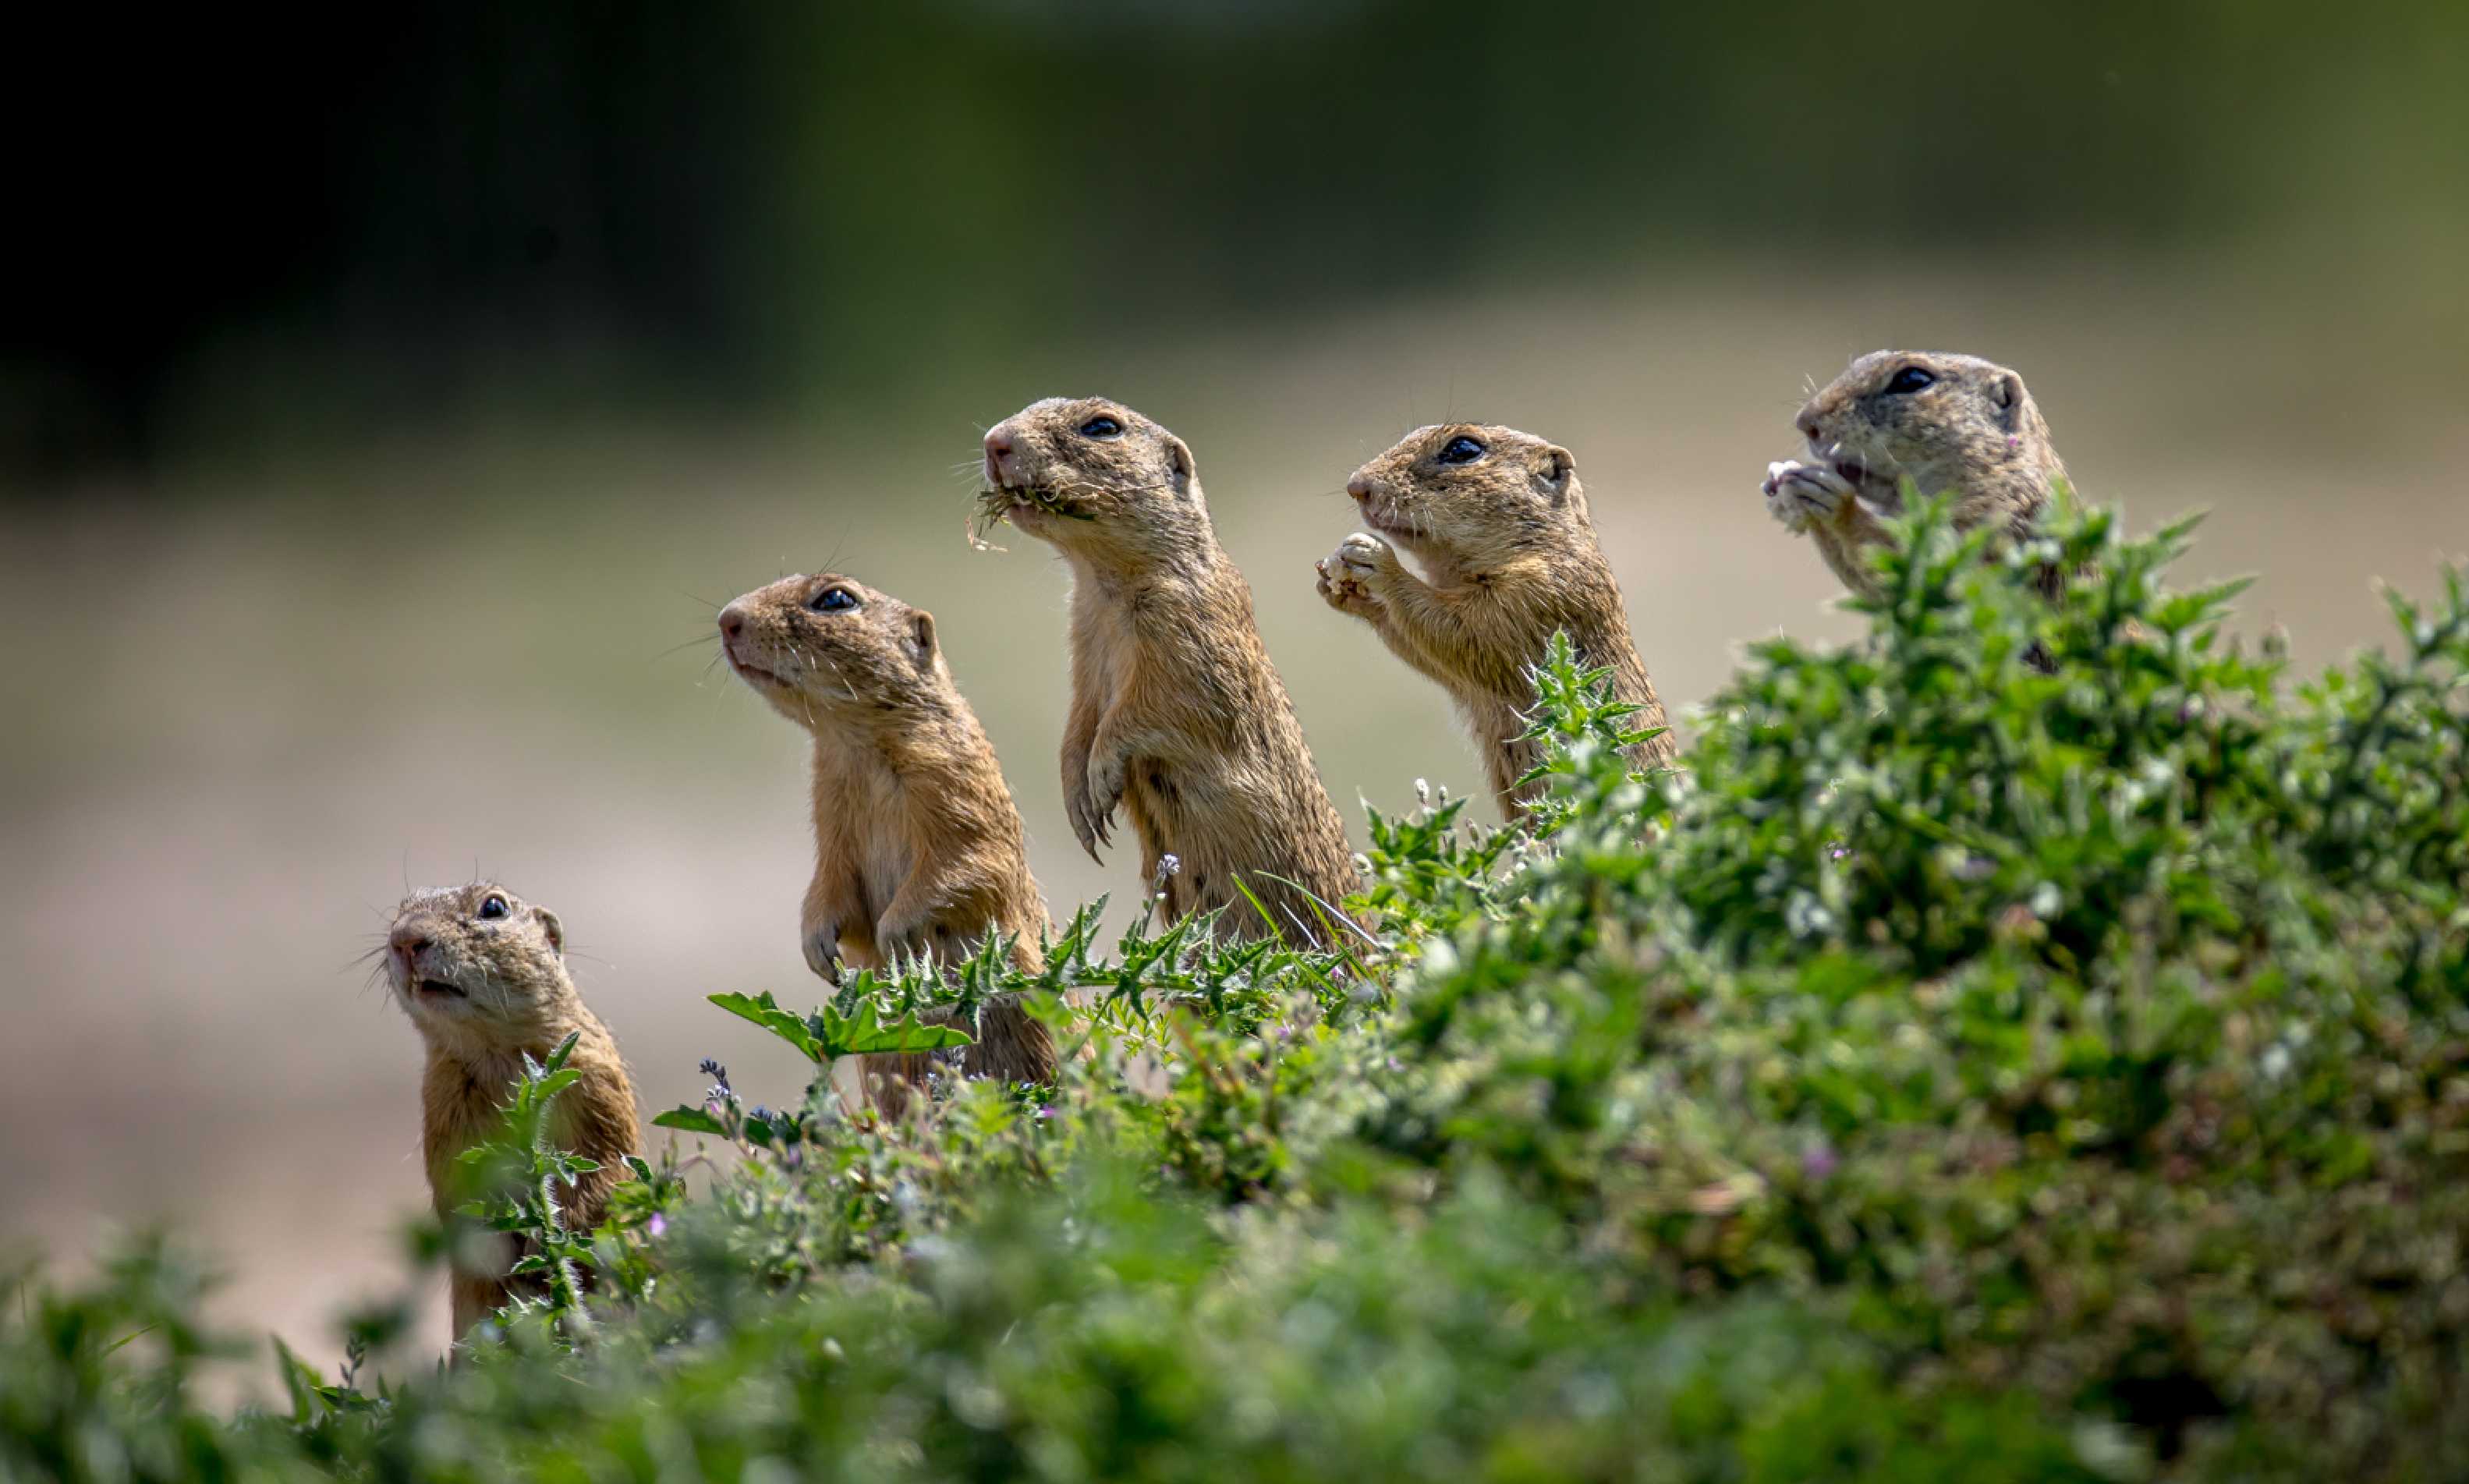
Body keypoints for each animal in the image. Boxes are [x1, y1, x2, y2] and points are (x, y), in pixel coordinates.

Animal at [380, 879, 636, 1343]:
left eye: (494, 907)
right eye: (402, 909)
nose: (405, 938)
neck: (494, 1047)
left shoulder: (596, 1079)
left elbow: (605, 1163)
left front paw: (549, 1240)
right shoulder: (443, 1105)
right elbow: (457, 1187)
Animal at [721, 568, 1057, 1101]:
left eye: (836, 599)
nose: (727, 619)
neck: (853, 743)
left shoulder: (962, 791)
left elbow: (967, 865)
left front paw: (895, 933)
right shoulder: (830, 818)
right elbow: (831, 886)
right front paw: (819, 950)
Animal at [972, 399, 1362, 943]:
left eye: (1102, 427)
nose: (994, 442)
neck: (1104, 584)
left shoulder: (1189, 637)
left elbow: (1158, 709)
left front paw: (1100, 778)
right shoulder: (1083, 649)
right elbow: (1079, 721)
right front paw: (1078, 804)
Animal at [1313, 417, 1678, 814]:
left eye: (1463, 449)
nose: (1357, 486)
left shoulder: (1535, 599)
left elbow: (1458, 631)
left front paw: (1376, 561)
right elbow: (1427, 651)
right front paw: (1340, 588)